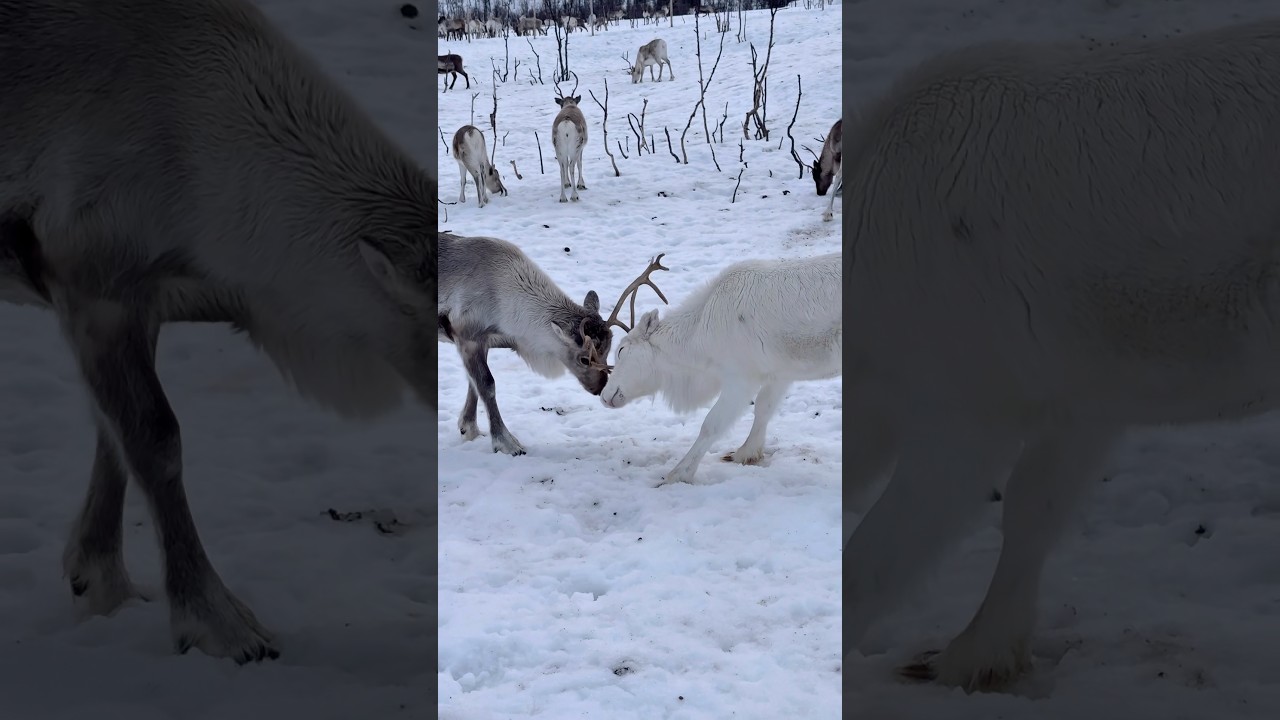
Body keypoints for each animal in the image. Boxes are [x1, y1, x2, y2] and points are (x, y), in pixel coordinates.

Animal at [0, 0, 435, 665]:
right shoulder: (94, 287)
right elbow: (155, 442)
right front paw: (216, 620)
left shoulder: (137, 297)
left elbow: (112, 437)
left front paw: (99, 580)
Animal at [438, 232, 662, 455]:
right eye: (584, 359)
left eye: (607, 351)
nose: (599, 388)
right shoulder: (468, 338)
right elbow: (486, 385)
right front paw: (506, 442)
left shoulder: (481, 341)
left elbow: (473, 385)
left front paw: (469, 429)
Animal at [551, 73, 588, 203]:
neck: (569, 104)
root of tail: (566, 124)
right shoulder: (581, 147)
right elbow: (580, 163)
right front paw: (581, 184)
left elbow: (565, 164)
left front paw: (567, 183)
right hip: (575, 147)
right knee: (572, 166)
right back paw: (574, 195)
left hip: (558, 147)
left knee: (562, 168)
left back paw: (563, 197)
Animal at [600, 253, 841, 486]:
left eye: (621, 350)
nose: (604, 396)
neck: (696, 339)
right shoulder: (779, 373)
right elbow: (764, 408)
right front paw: (746, 454)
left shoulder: (740, 377)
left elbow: (711, 424)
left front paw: (677, 475)